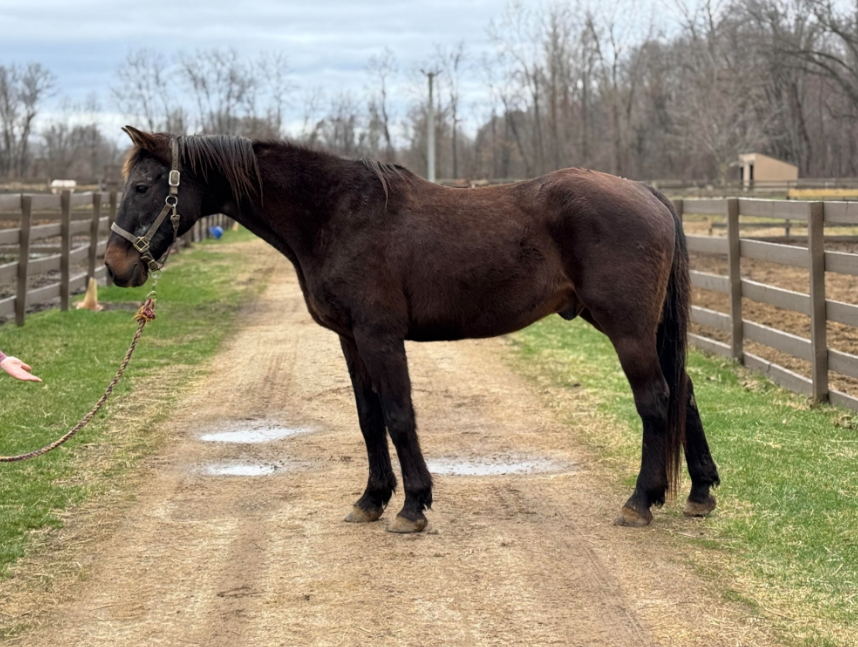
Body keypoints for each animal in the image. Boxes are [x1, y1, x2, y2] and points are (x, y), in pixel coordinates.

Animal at [105, 126, 720, 533]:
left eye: (143, 187)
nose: (115, 266)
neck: (334, 212)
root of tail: (648, 193)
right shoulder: (350, 339)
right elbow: (369, 419)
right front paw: (372, 500)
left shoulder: (380, 335)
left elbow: (400, 416)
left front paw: (412, 506)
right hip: (640, 328)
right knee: (684, 393)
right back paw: (699, 492)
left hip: (627, 328)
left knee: (656, 399)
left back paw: (640, 502)